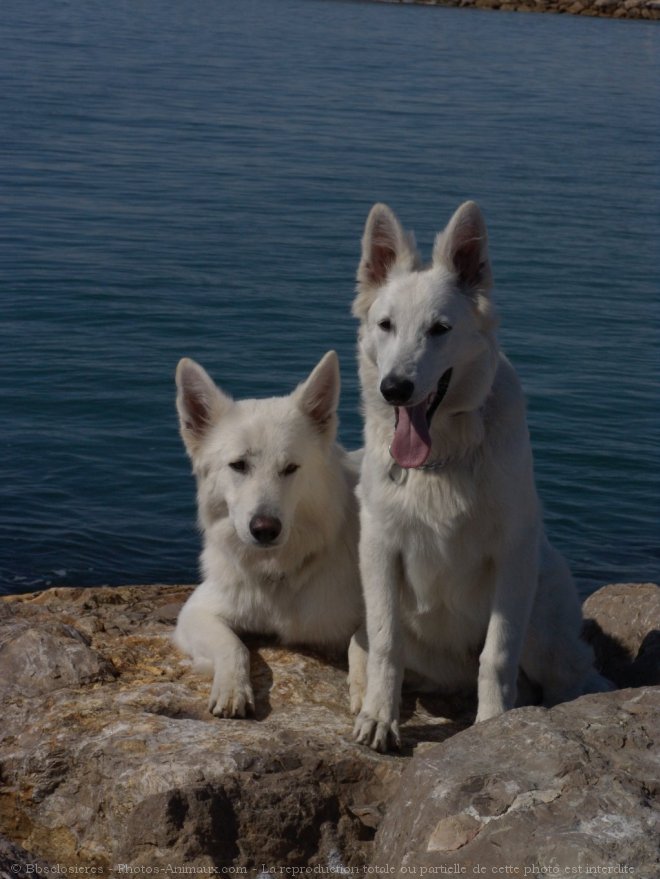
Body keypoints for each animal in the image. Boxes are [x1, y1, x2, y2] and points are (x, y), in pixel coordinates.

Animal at [173, 350, 364, 716]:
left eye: (290, 468)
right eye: (239, 465)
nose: (264, 529)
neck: (281, 574)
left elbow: (363, 642)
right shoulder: (197, 611)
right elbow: (233, 646)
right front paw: (232, 687)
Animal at [348, 203, 612, 752]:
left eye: (440, 329)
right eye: (385, 325)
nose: (394, 389)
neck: (442, 459)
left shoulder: (512, 553)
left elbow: (497, 653)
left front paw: (494, 728)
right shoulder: (380, 547)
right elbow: (384, 644)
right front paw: (380, 717)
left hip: (544, 624)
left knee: (571, 675)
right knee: (365, 643)